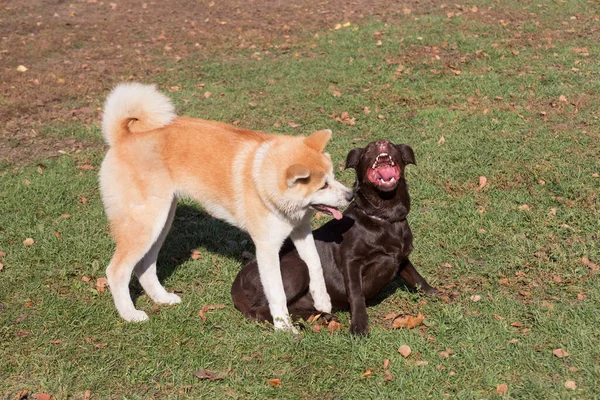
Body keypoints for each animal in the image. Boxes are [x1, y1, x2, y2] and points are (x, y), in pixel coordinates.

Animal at [98, 83, 352, 330]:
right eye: (323, 185)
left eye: (333, 176)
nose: (350, 195)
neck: (263, 179)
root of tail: (122, 137)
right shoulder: (267, 248)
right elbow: (277, 292)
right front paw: (284, 327)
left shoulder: (300, 230)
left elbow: (315, 264)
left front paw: (322, 300)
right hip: (145, 224)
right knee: (117, 271)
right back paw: (129, 314)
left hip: (161, 222)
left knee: (145, 267)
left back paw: (162, 298)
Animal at [232, 141, 438, 334]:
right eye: (367, 150)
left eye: (393, 145)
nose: (381, 143)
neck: (385, 217)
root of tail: (236, 284)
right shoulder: (351, 262)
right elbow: (356, 295)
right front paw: (359, 326)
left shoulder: (401, 257)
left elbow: (417, 278)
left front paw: (437, 294)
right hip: (299, 268)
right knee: (263, 310)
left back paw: (320, 316)